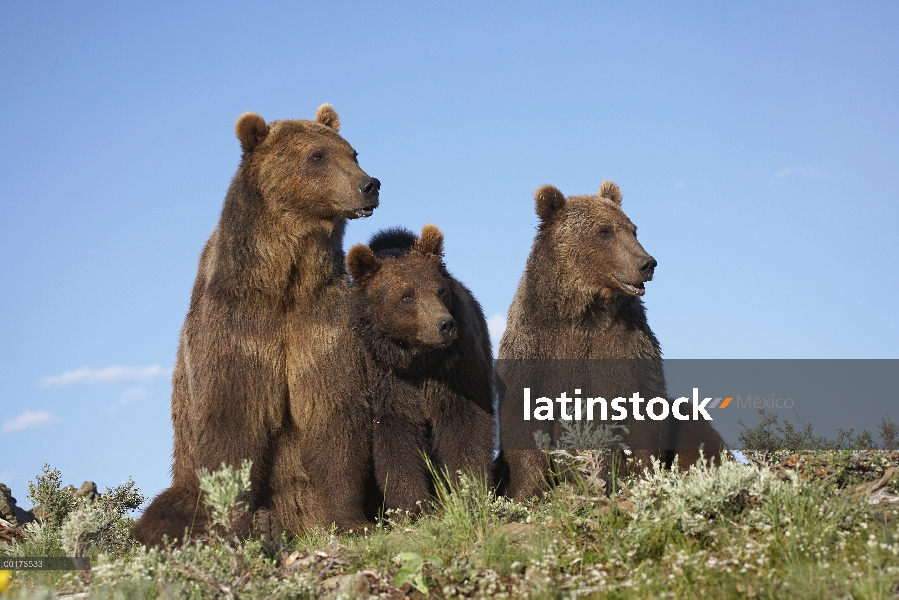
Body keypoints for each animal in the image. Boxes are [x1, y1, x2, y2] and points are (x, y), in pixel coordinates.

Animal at [133, 105, 380, 548]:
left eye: (352, 152)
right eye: (317, 155)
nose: (370, 185)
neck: (285, 281)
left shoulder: (322, 323)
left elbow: (335, 415)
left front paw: (353, 520)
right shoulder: (237, 328)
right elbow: (232, 424)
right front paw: (244, 525)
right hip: (184, 482)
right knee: (163, 513)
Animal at [348, 227, 496, 512]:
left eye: (440, 291)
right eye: (407, 295)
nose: (445, 324)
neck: (418, 360)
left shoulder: (455, 367)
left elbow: (466, 425)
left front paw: (467, 489)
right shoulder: (387, 378)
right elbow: (396, 440)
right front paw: (412, 505)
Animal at [496, 180, 728, 500]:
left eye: (632, 229)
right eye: (604, 230)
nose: (647, 263)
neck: (584, 312)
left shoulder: (625, 346)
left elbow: (641, 410)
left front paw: (639, 476)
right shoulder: (533, 346)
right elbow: (522, 417)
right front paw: (524, 492)